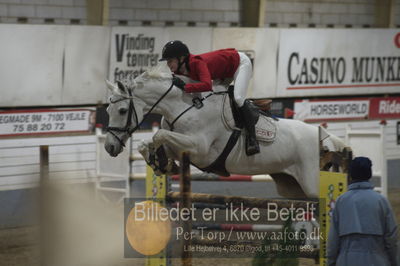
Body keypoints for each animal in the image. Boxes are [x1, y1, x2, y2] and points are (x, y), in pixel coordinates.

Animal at [105, 65, 346, 197]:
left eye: (122, 110)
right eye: (107, 110)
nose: (109, 147)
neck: (185, 105)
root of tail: (324, 138)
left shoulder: (200, 149)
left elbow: (158, 135)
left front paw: (160, 161)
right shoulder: (182, 146)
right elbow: (148, 143)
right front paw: (161, 163)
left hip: (312, 183)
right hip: (291, 186)